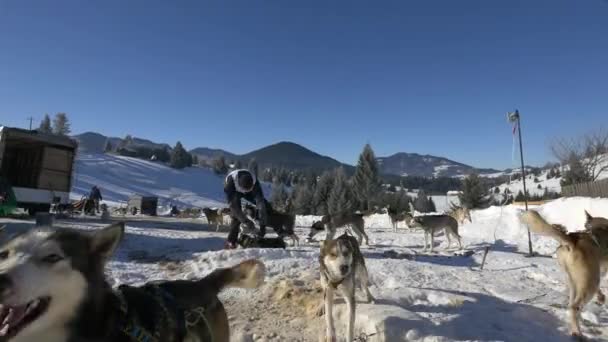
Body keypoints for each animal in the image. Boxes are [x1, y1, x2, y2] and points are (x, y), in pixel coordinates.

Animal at [520, 210, 608, 338]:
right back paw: (577, 332)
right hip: (589, 282)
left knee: (572, 306)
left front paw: (601, 297)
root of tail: (572, 240)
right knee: (575, 307)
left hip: (574, 282)